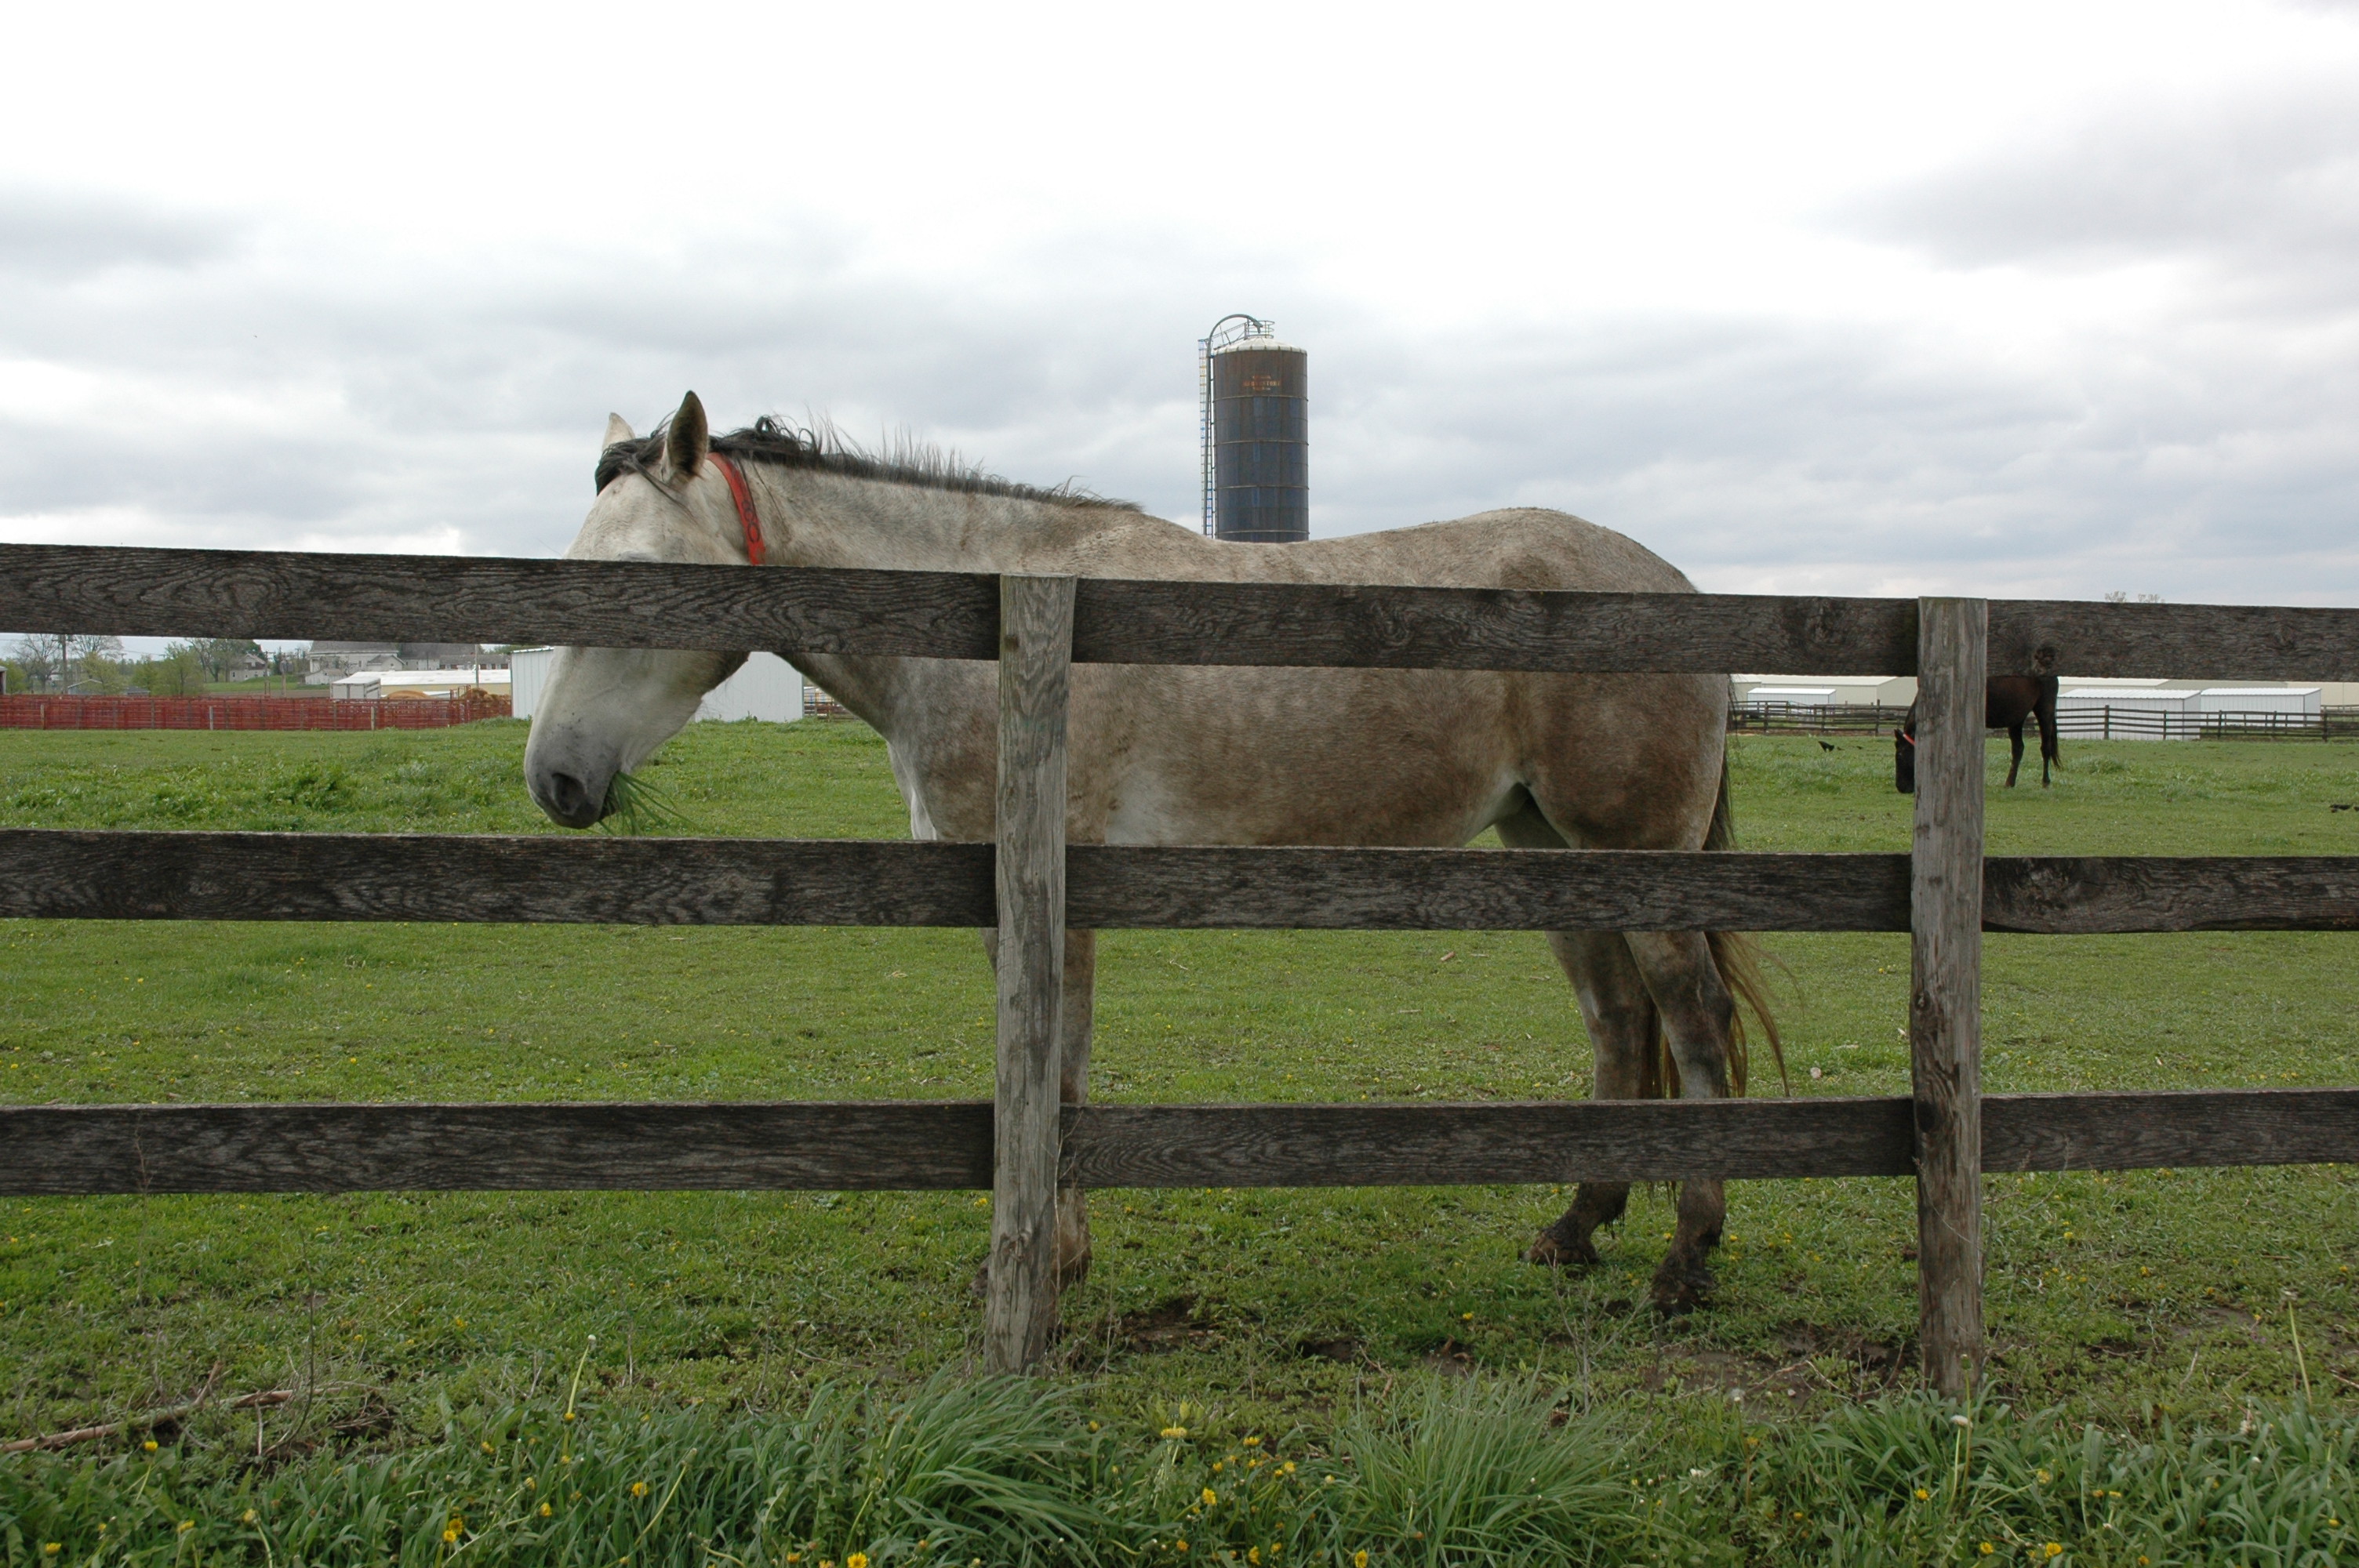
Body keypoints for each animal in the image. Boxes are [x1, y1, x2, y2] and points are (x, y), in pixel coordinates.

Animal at [524, 390, 1779, 1316]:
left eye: (639, 580)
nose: (556, 779)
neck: (993, 627)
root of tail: (1678, 586)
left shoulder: (1050, 898)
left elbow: (1056, 1073)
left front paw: (1045, 1265)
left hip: (1635, 856)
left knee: (1691, 1022)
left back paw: (1686, 1260)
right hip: (1551, 851)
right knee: (1617, 1023)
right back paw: (1577, 1227)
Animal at [1895, 675, 2060, 792]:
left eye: (1900, 755)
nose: (1900, 787)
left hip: (2044, 712)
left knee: (2045, 748)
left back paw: (2045, 782)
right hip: (2017, 719)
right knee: (2018, 749)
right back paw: (2009, 783)